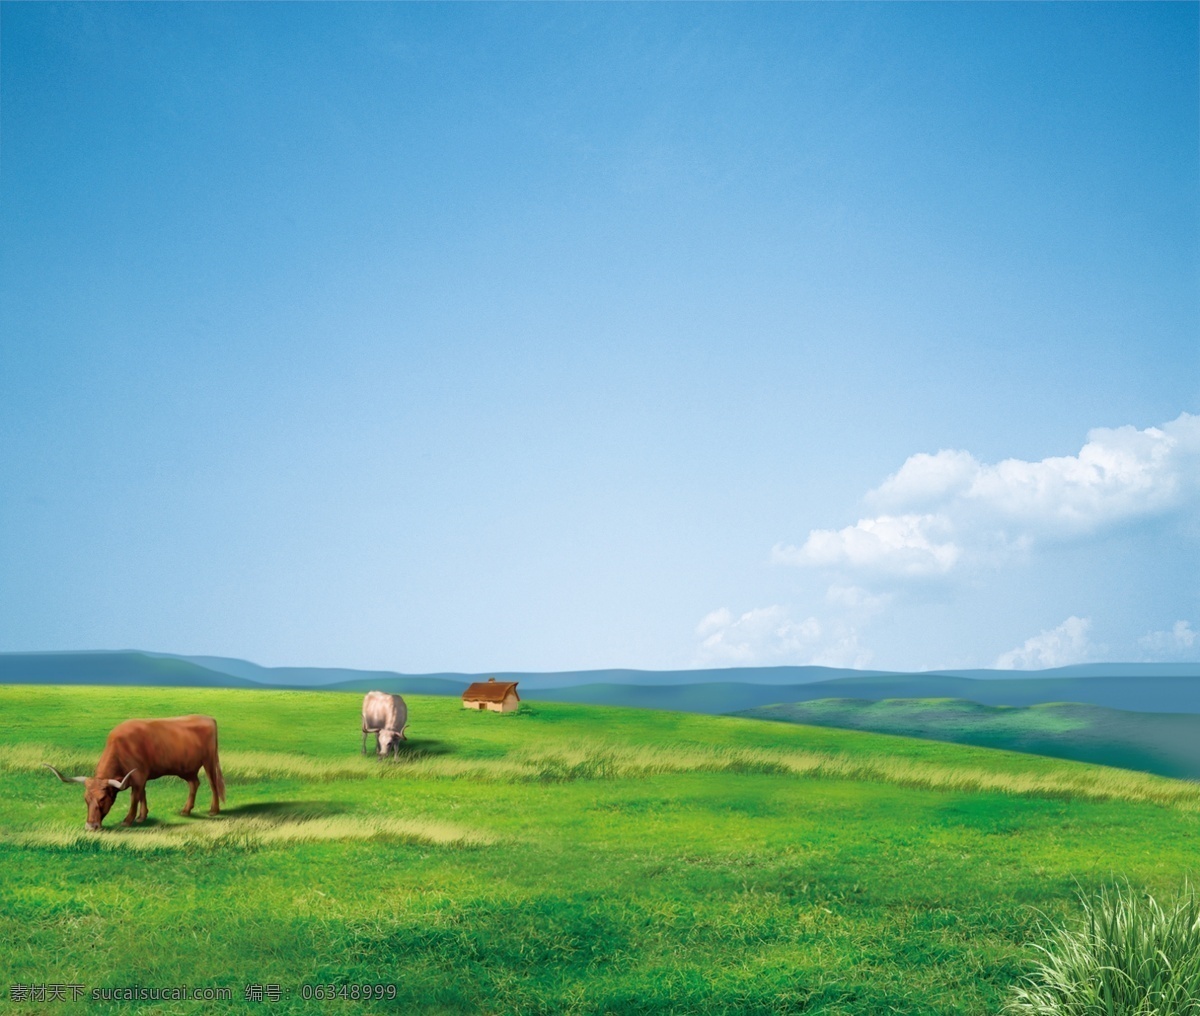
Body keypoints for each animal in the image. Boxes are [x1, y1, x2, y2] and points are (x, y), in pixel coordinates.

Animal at [43, 710, 226, 830]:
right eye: (86, 799)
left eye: (102, 798)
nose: (90, 826)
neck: (121, 748)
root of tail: (208, 718)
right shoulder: (140, 778)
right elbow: (142, 795)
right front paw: (141, 817)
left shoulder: (138, 776)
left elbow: (134, 798)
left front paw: (128, 820)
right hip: (187, 769)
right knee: (194, 783)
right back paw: (186, 810)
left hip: (209, 761)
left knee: (213, 784)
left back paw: (213, 810)